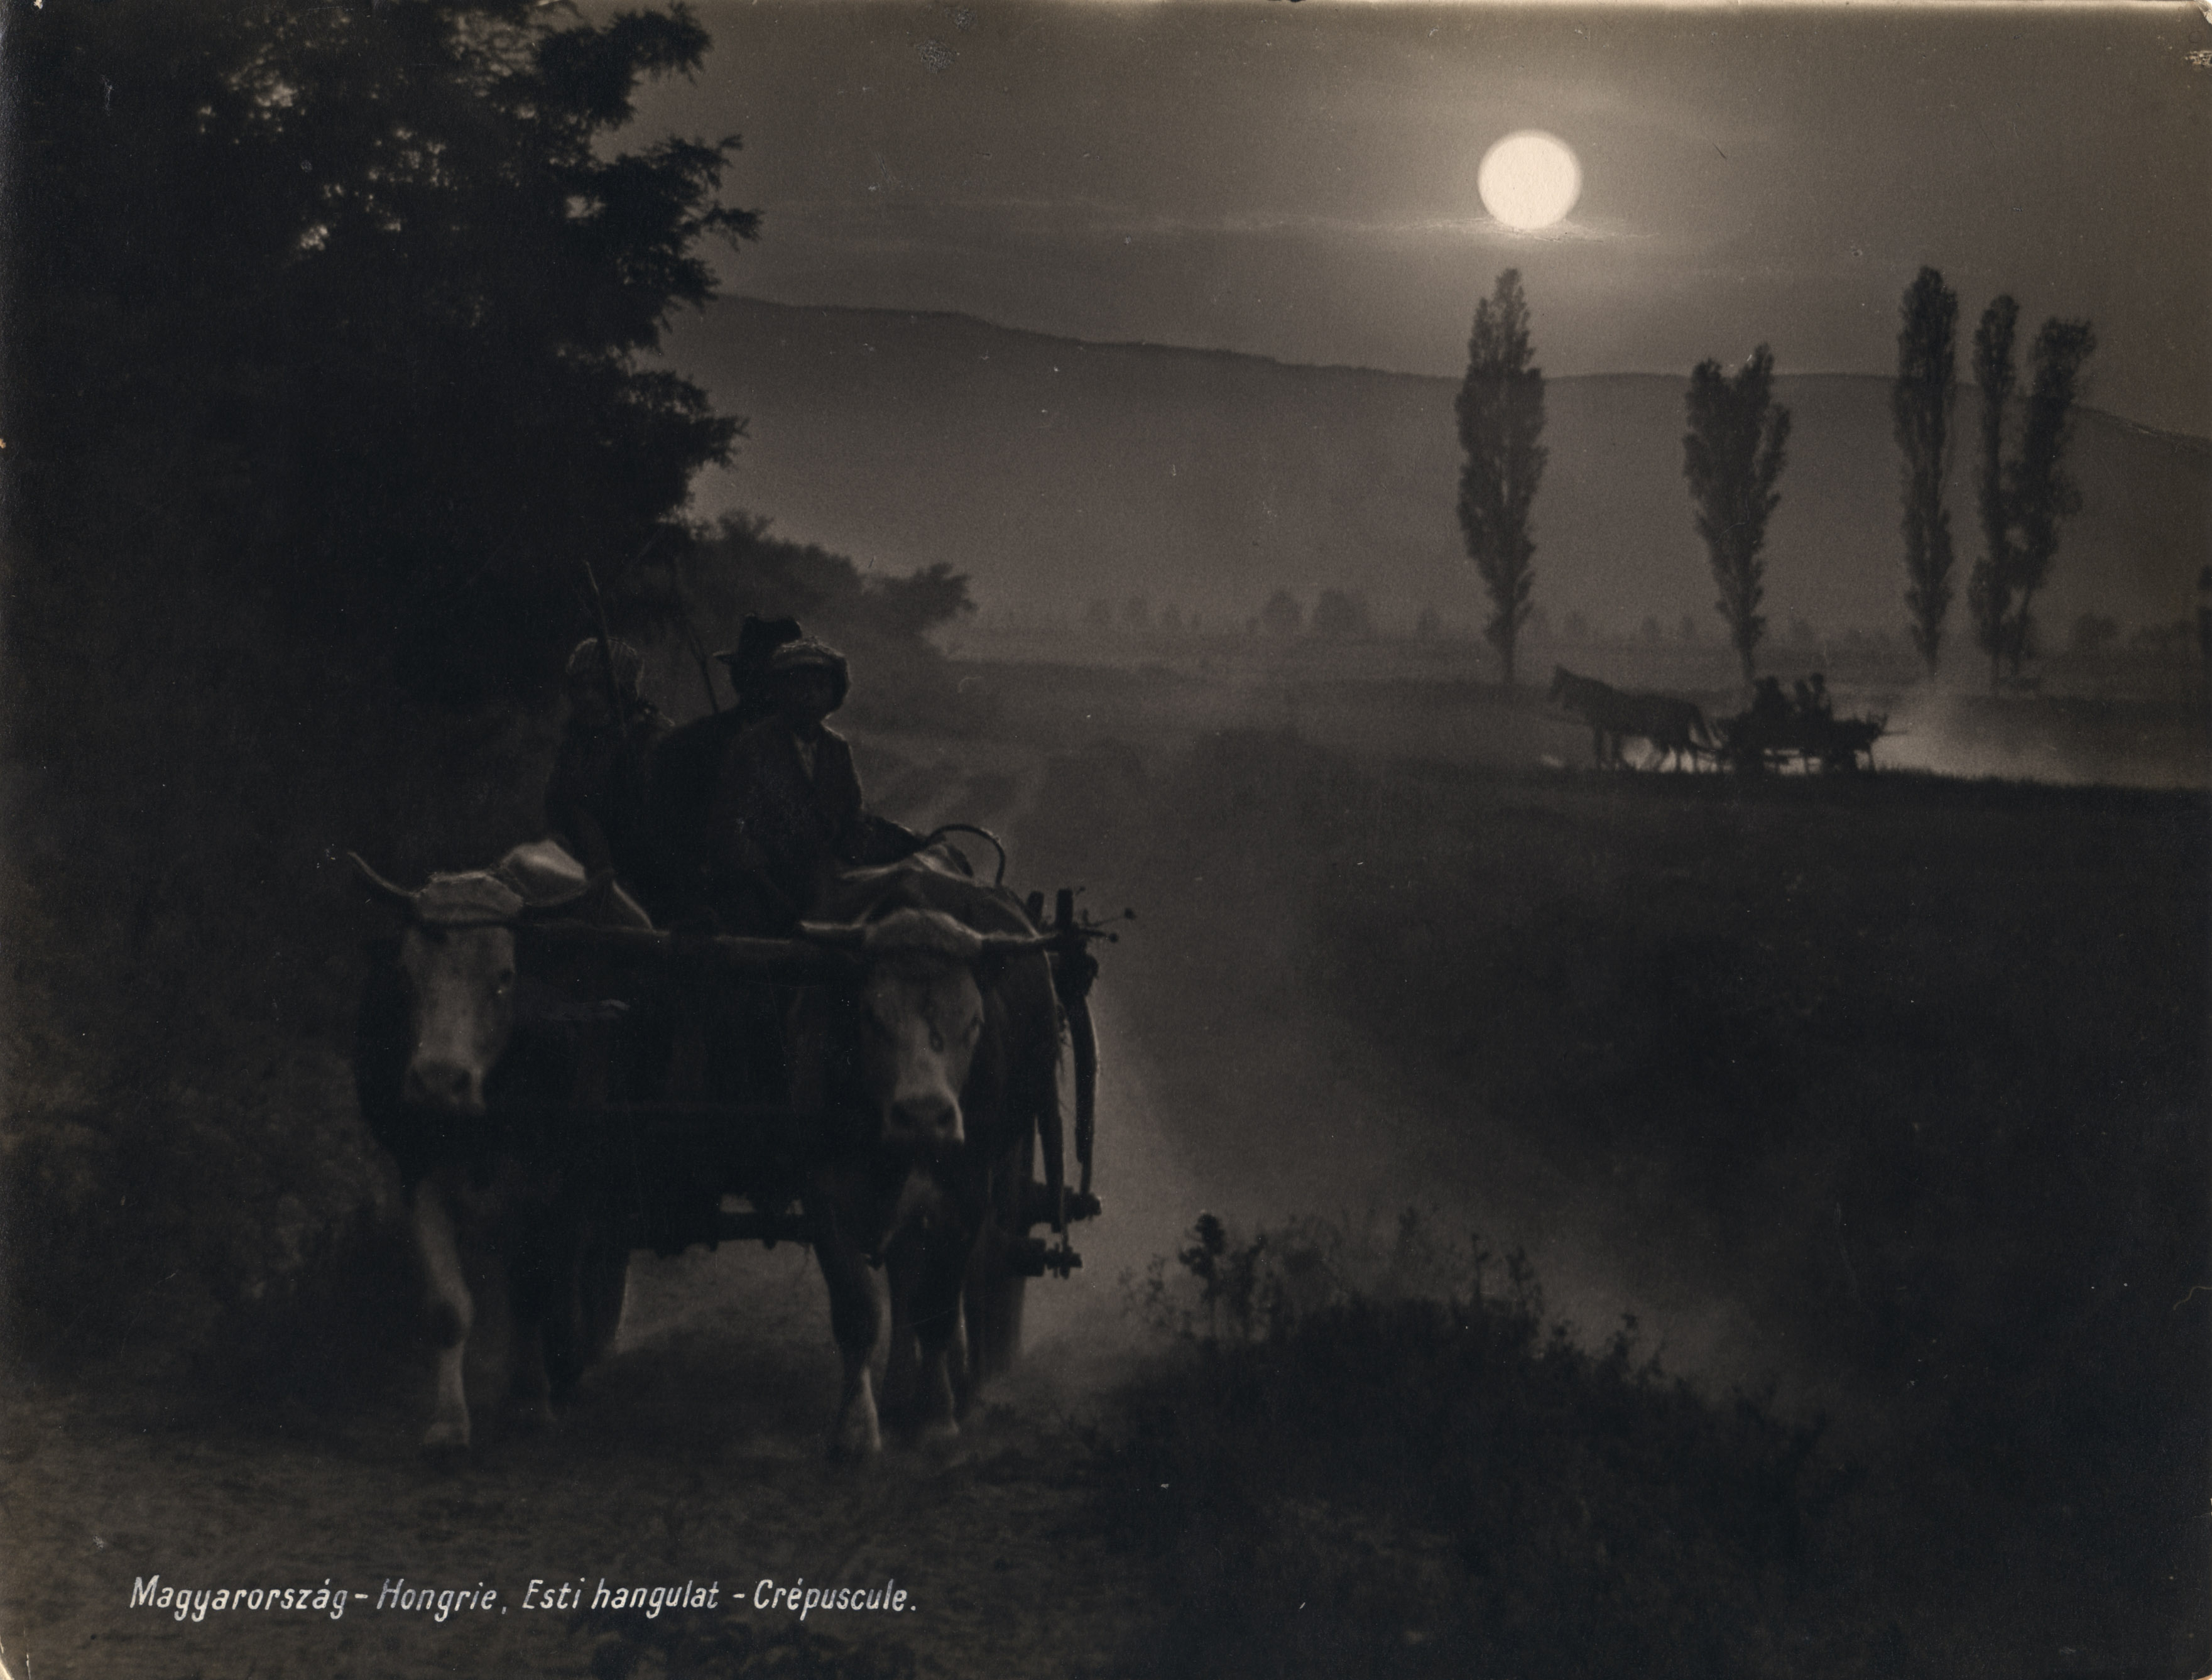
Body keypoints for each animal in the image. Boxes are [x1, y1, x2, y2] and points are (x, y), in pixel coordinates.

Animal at [1557, 668, 1708, 775]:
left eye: (1572, 690)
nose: (1564, 705)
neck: (1604, 702)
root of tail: (1684, 705)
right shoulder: (1611, 732)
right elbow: (1610, 751)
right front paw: (1619, 766)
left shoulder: (1612, 731)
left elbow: (1611, 751)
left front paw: (1621, 767)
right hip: (1665, 736)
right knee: (1678, 750)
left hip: (1664, 735)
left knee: (1681, 750)